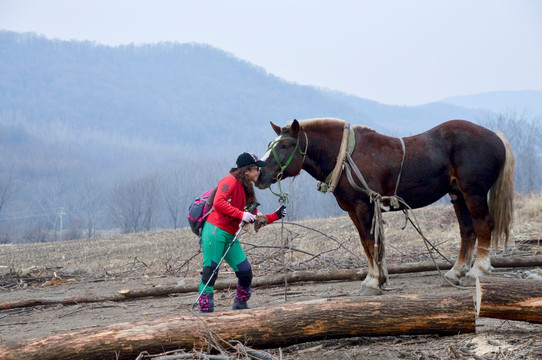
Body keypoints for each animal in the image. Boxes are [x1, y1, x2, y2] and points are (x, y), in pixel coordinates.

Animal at [258, 118, 516, 296]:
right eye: (270, 144)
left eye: (286, 145)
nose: (260, 174)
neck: (347, 156)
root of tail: (495, 136)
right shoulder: (353, 210)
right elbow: (367, 244)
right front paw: (375, 278)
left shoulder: (364, 206)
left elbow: (371, 241)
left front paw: (374, 282)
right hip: (457, 195)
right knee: (467, 230)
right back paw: (456, 272)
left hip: (473, 193)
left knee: (484, 225)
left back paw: (479, 269)